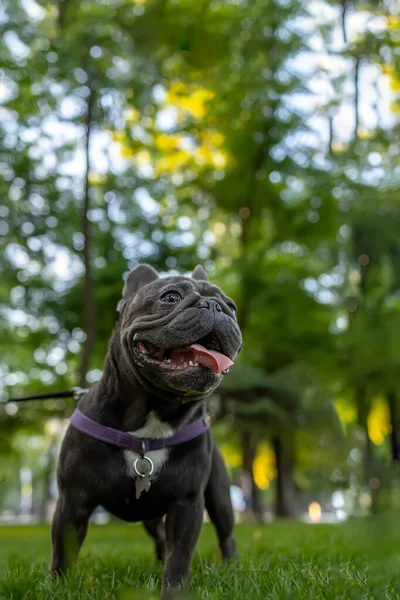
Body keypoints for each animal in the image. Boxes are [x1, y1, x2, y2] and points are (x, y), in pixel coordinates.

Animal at [51, 264, 242, 596]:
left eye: (231, 306)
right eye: (171, 297)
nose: (215, 306)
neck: (155, 415)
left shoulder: (187, 503)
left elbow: (180, 556)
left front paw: (174, 591)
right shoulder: (71, 502)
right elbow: (63, 553)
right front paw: (59, 588)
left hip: (219, 496)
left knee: (225, 532)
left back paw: (231, 566)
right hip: (152, 515)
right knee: (160, 537)